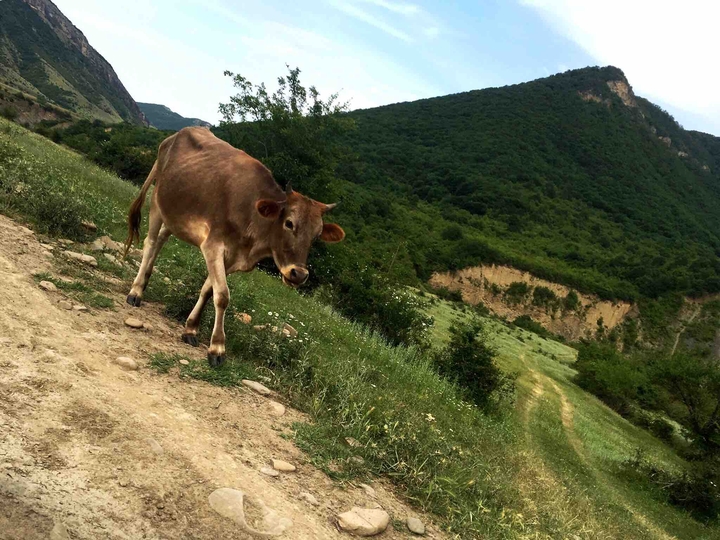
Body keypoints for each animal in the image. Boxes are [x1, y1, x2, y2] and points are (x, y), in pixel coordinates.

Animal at [123, 127, 345, 367]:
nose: (299, 274)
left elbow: (208, 290)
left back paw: (145, 281)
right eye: (289, 223)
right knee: (151, 243)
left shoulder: (230, 256)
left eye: (316, 235)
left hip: (175, 216)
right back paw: (136, 291)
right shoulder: (213, 245)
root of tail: (176, 135)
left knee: (162, 239)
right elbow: (222, 295)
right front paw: (217, 348)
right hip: (157, 201)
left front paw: (191, 329)